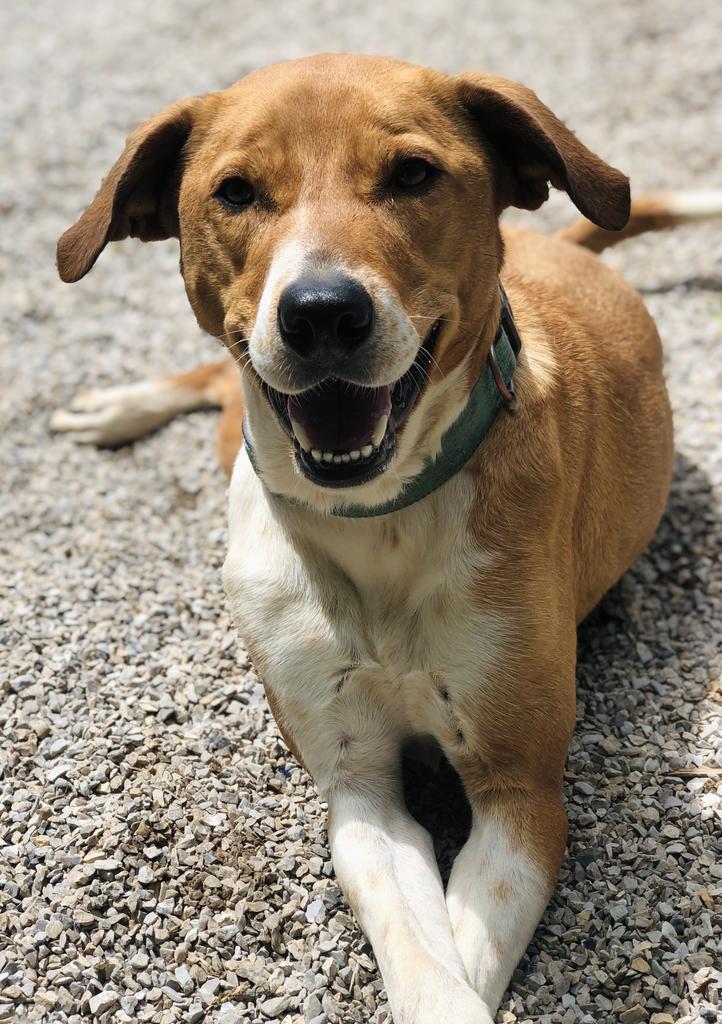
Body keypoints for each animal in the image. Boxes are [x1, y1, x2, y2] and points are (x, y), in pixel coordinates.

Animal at [52, 56, 720, 1024]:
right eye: (236, 191)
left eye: (412, 174)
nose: (322, 313)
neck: (382, 521)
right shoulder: (357, 788)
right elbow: (419, 950)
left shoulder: (521, 790)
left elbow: (456, 966)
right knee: (215, 374)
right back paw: (120, 406)